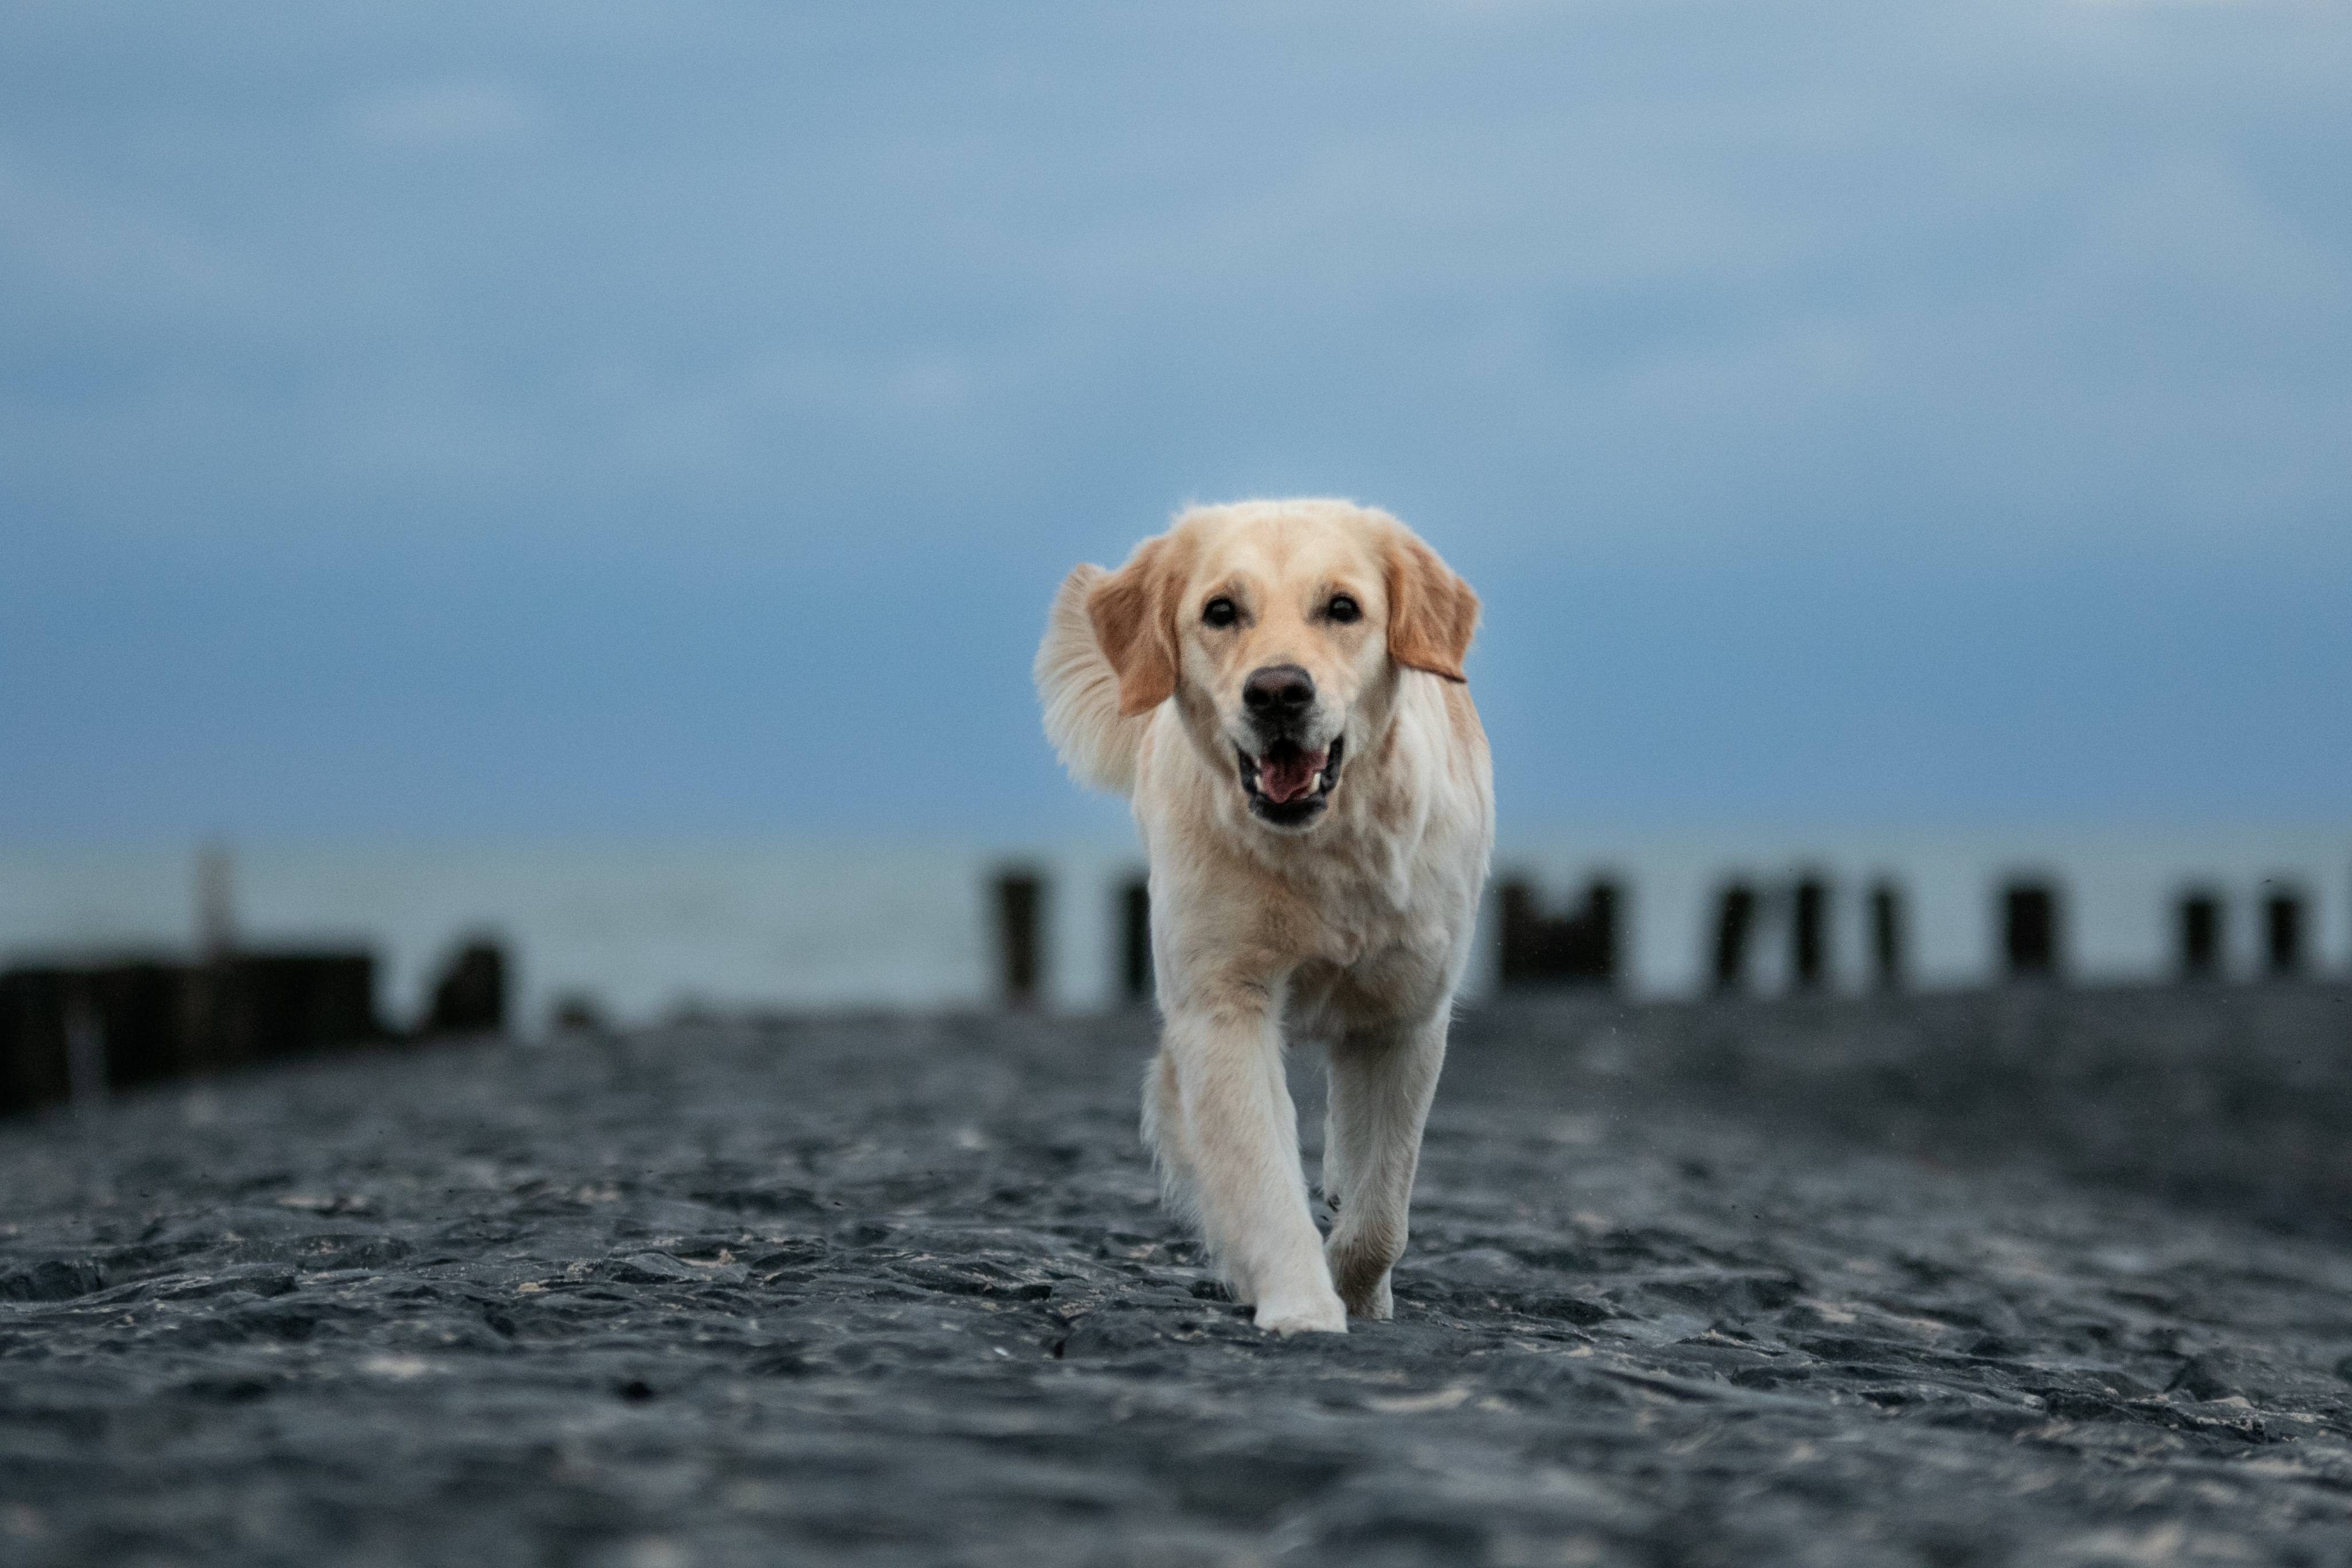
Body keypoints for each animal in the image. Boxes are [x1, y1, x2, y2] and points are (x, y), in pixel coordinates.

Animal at [1039, 496, 1496, 1335]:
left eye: (1343, 608)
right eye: (1222, 611)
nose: (1279, 691)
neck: (1322, 847)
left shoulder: (1407, 1016)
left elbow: (1382, 1213)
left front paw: (1359, 1291)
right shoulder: (1222, 1004)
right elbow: (1259, 1176)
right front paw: (1302, 1305)